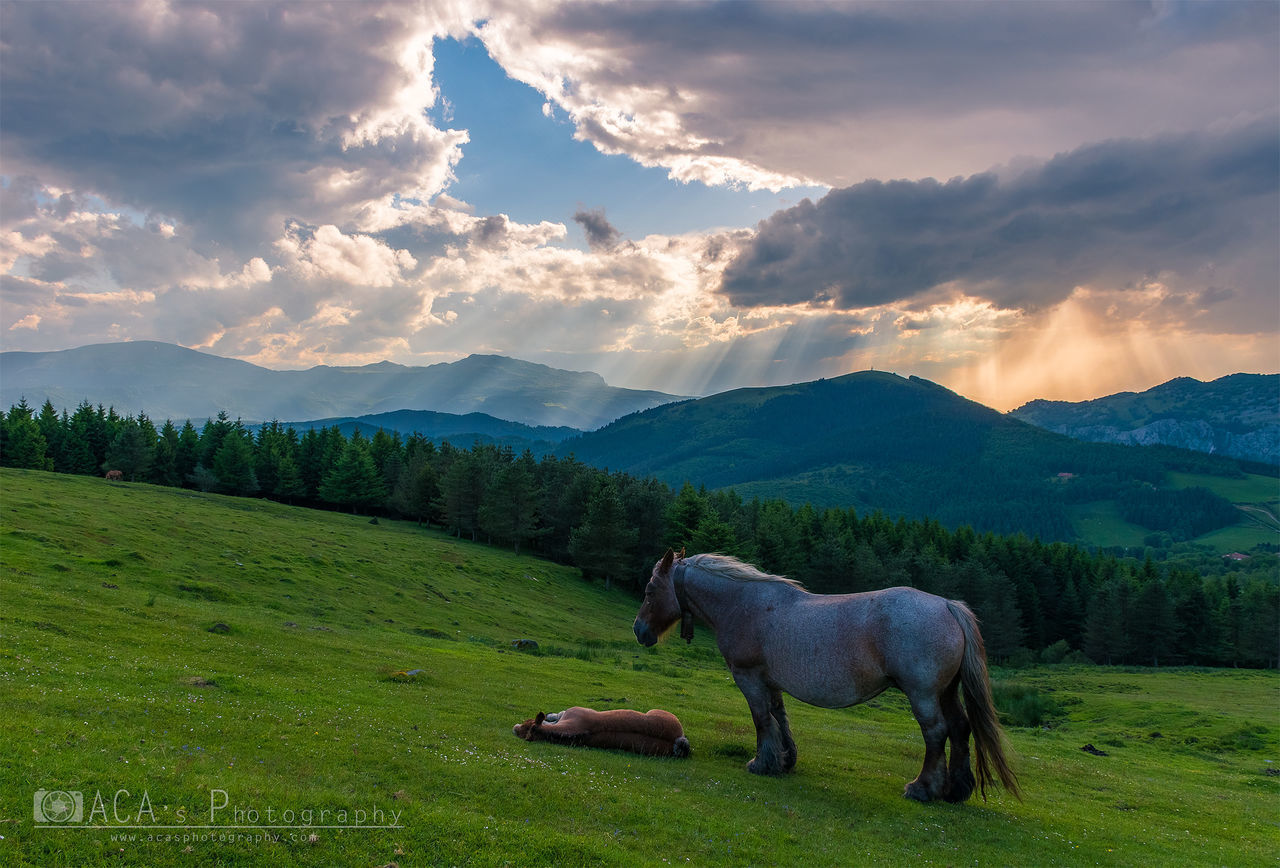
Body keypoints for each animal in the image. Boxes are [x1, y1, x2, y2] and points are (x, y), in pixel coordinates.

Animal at [629, 553, 1018, 803]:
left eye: (649, 591)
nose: (639, 630)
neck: (744, 604)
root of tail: (947, 605)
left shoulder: (749, 677)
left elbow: (761, 719)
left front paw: (762, 763)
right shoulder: (771, 682)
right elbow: (779, 718)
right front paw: (784, 761)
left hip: (922, 694)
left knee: (937, 733)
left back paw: (923, 788)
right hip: (946, 692)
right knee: (961, 729)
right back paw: (956, 790)